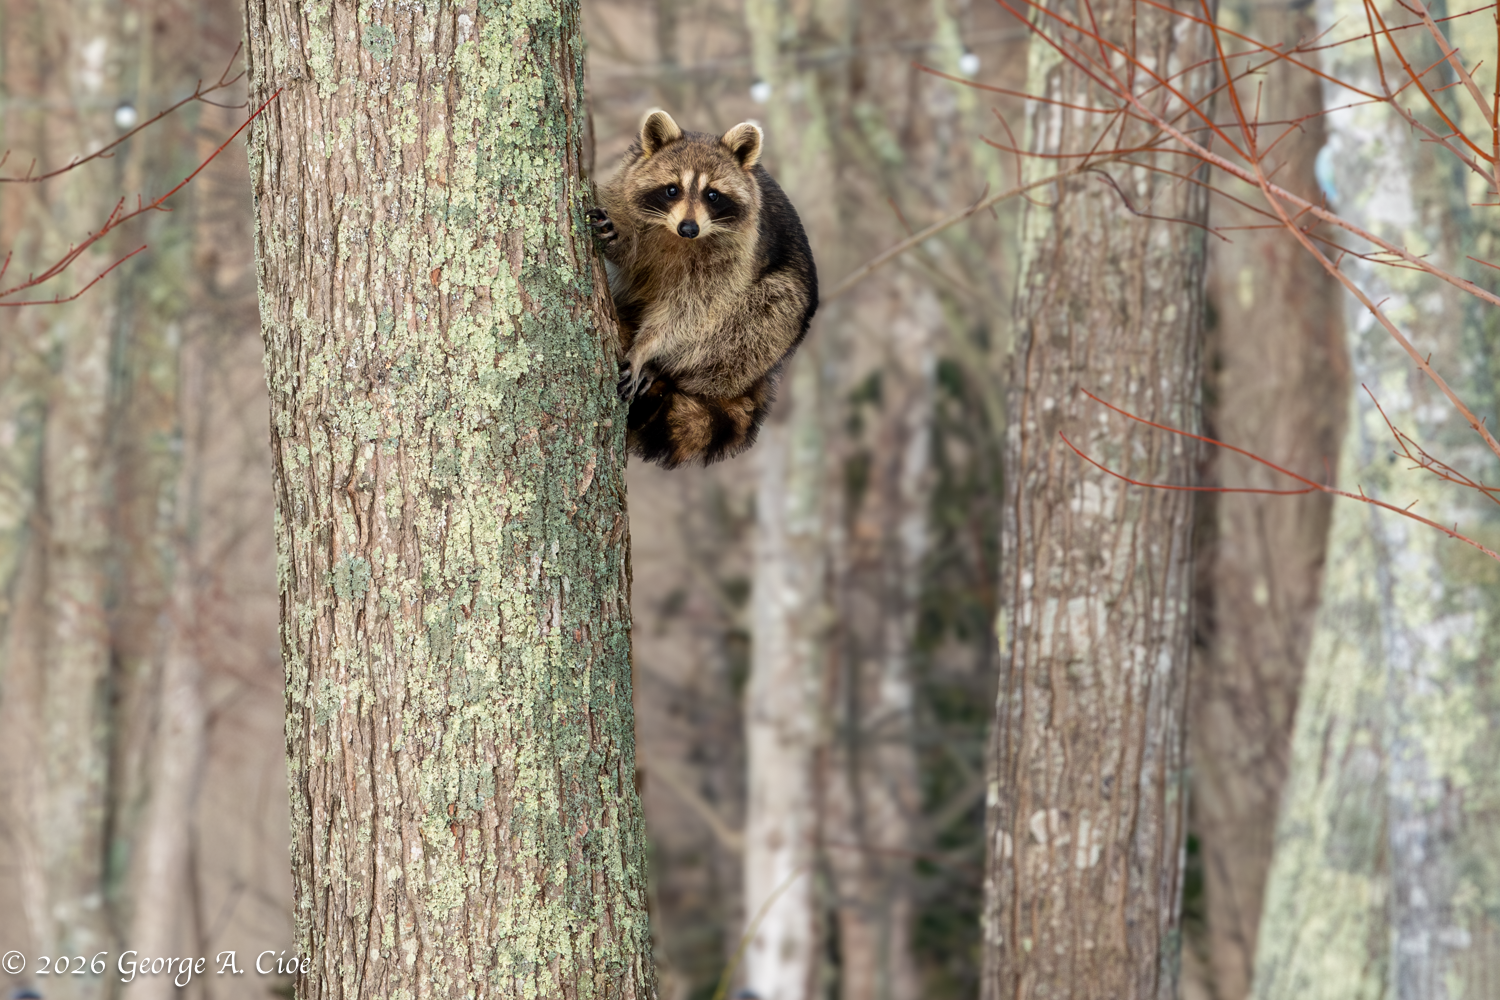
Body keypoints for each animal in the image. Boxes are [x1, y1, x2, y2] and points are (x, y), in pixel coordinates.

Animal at [587, 109, 818, 468]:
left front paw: (646, 349)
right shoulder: (624, 189)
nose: (689, 228)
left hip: (774, 328)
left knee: (765, 312)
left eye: (712, 195)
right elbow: (627, 248)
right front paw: (618, 240)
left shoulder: (733, 257)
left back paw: (667, 367)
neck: (674, 235)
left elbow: (691, 310)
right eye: (672, 190)